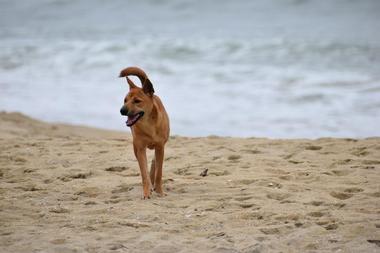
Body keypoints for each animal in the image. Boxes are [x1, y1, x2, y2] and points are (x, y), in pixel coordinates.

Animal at [119, 67, 169, 200]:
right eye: (125, 100)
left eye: (137, 101)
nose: (122, 110)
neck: (148, 124)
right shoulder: (140, 148)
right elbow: (144, 172)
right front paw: (147, 192)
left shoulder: (160, 147)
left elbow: (158, 172)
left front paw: (160, 191)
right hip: (135, 146)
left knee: (154, 163)